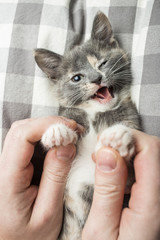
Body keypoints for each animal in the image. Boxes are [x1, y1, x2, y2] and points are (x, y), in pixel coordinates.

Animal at [34, 11, 140, 240]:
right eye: (76, 78)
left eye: (102, 63)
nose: (96, 78)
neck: (95, 114)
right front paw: (57, 131)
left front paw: (118, 135)